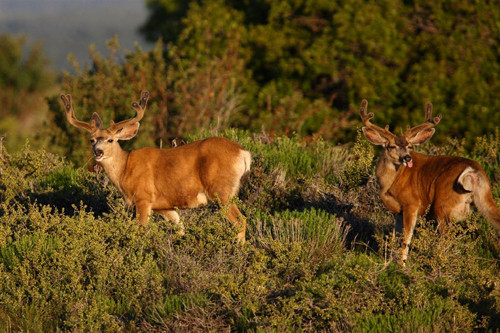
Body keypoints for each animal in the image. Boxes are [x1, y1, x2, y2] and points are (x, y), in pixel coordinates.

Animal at [360, 98, 500, 262]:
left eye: (409, 146)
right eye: (392, 146)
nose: (407, 158)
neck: (388, 183)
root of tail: (473, 169)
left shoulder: (412, 203)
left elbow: (406, 238)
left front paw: (402, 264)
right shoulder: (398, 211)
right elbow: (396, 236)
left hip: (443, 205)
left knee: (445, 238)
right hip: (484, 197)